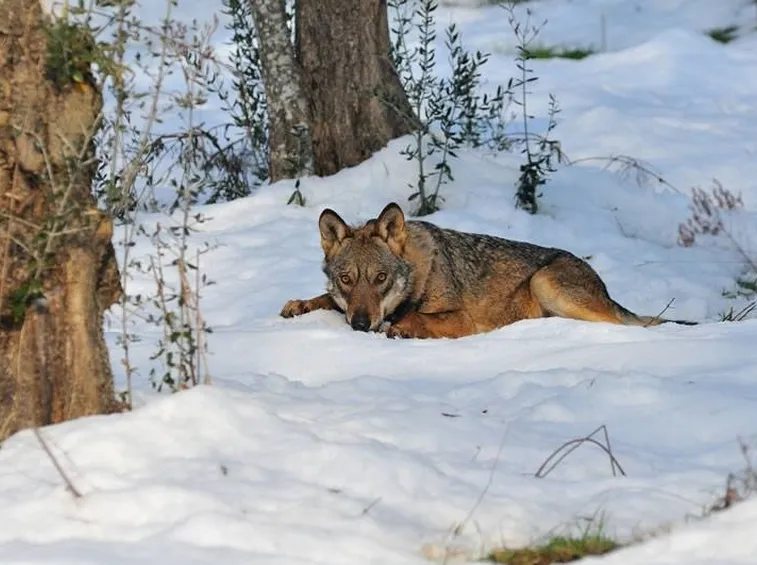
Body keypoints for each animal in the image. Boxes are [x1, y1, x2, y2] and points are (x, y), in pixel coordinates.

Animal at [280, 203, 695, 339]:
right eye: (346, 279)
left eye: (380, 278)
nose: (361, 325)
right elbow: (324, 300)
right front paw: (299, 304)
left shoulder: (461, 318)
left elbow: (418, 318)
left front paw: (401, 328)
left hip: (545, 282)